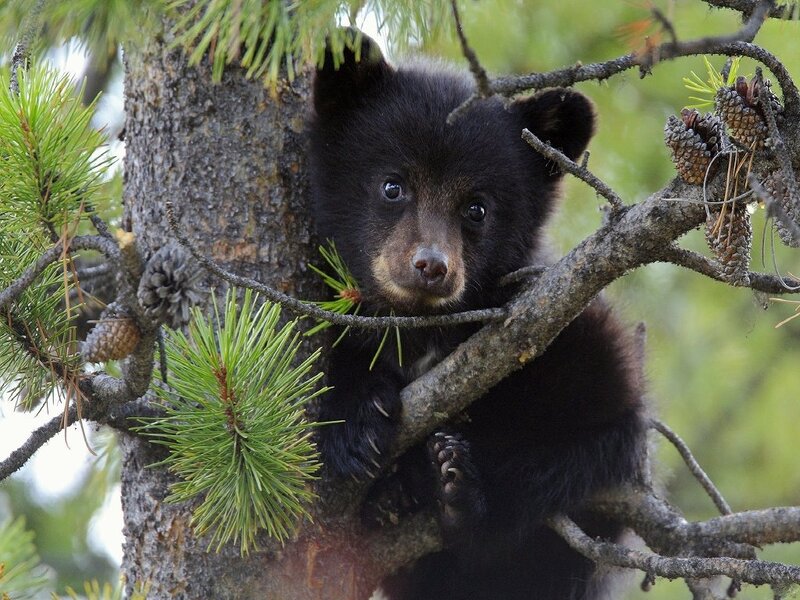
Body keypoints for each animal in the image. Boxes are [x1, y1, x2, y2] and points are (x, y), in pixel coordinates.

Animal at [309, 30, 647, 600]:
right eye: (392, 185)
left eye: (477, 208)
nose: (431, 266)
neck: (423, 331)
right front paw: (356, 421)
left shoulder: (571, 326)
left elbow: (593, 428)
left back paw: (458, 492)